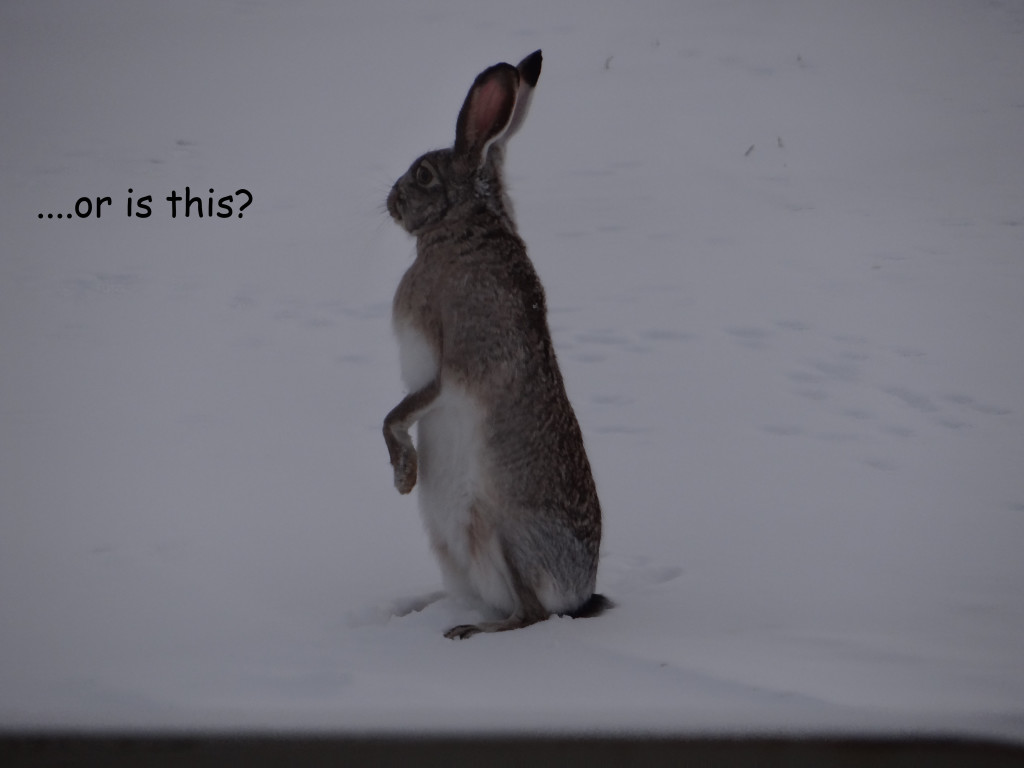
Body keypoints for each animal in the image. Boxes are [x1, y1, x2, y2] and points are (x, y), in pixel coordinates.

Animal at [383, 50, 611, 639]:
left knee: (530, 614)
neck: (461, 224)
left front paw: (404, 476)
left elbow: (396, 415)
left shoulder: (452, 365)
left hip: (499, 534)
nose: (391, 201)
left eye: (424, 174)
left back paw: (468, 632)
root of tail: (578, 593)